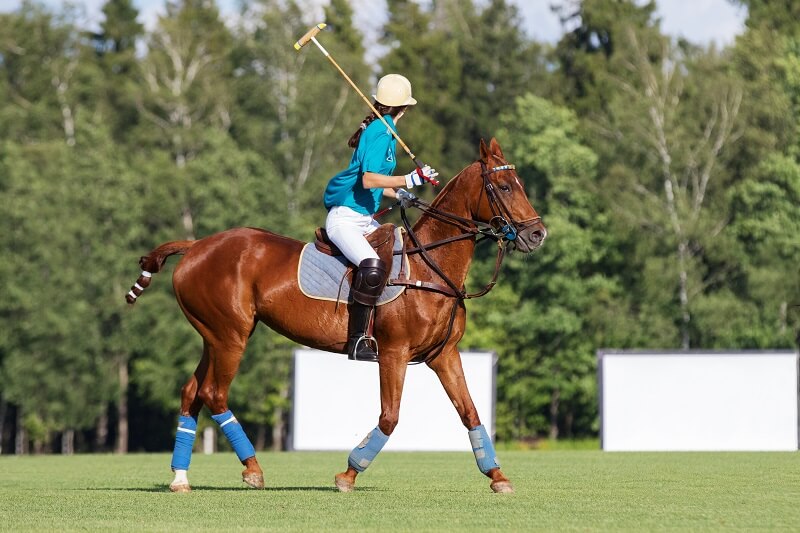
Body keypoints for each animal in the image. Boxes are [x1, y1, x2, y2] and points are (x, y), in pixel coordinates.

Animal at [125, 136, 548, 490]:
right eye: (505, 186)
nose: (537, 234)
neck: (430, 266)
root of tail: (195, 245)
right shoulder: (393, 353)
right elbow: (390, 416)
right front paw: (348, 474)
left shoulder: (444, 354)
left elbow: (470, 413)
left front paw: (498, 476)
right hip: (232, 334)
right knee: (214, 393)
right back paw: (253, 469)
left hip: (212, 335)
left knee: (192, 392)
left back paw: (180, 478)